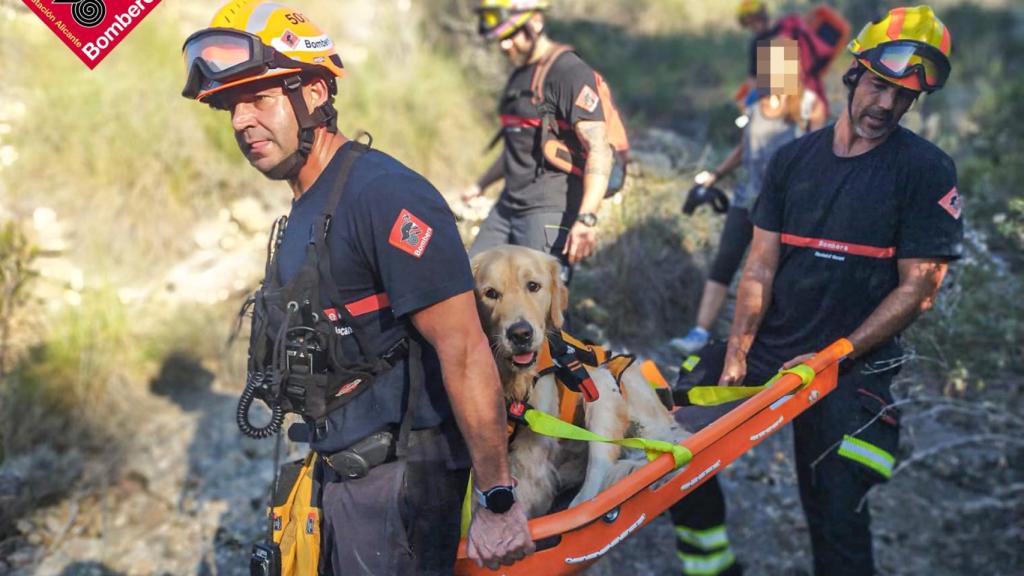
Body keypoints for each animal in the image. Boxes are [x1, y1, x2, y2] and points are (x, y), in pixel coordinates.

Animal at [471, 242, 688, 516]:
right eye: (490, 293)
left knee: (598, 477)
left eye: (533, 286)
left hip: (600, 383)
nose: (520, 334)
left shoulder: (532, 454)